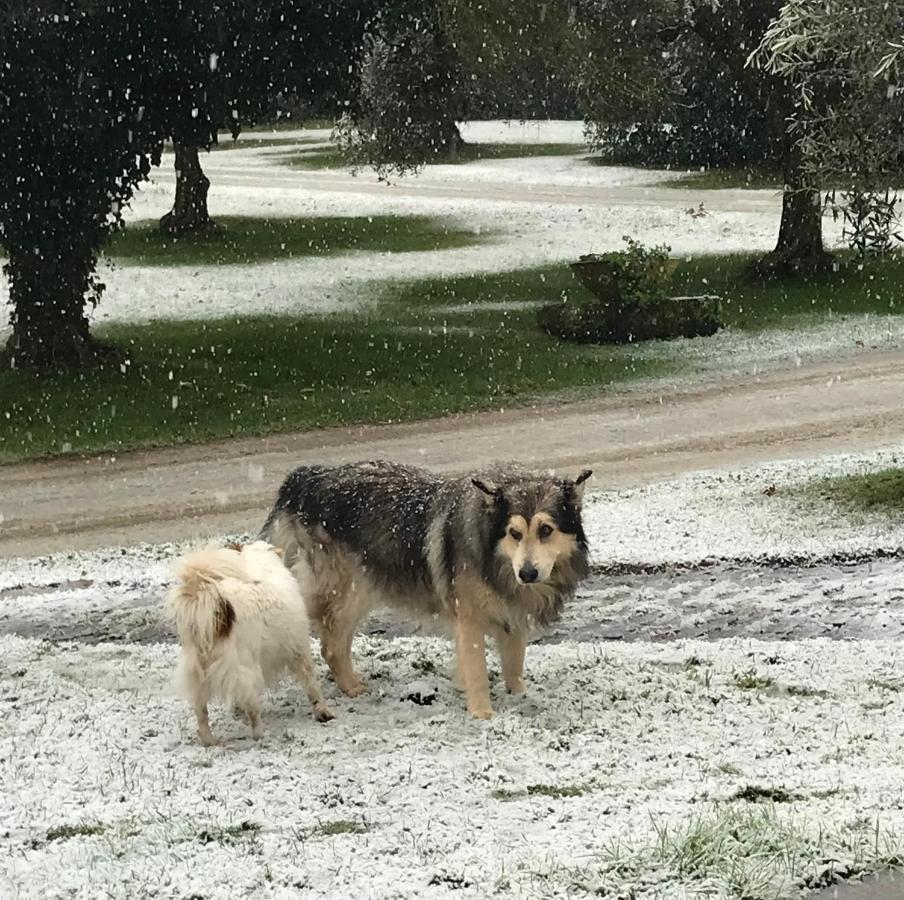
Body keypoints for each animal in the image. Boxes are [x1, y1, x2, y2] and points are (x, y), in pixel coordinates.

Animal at [164, 540, 334, 744]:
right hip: (243, 669)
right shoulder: (298, 649)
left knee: (201, 711)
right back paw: (260, 733)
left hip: (197, 674)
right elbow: (312, 685)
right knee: (251, 708)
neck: (260, 563)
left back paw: (209, 740)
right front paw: (323, 712)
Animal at [260, 460, 592, 720]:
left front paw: (519, 695)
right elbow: (477, 671)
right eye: (515, 533)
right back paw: (351, 687)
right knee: (330, 645)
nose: (527, 574)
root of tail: (303, 478)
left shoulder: (513, 616)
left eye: (546, 530)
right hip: (352, 590)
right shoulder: (469, 621)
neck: (487, 550)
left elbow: (514, 665)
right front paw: (483, 714)